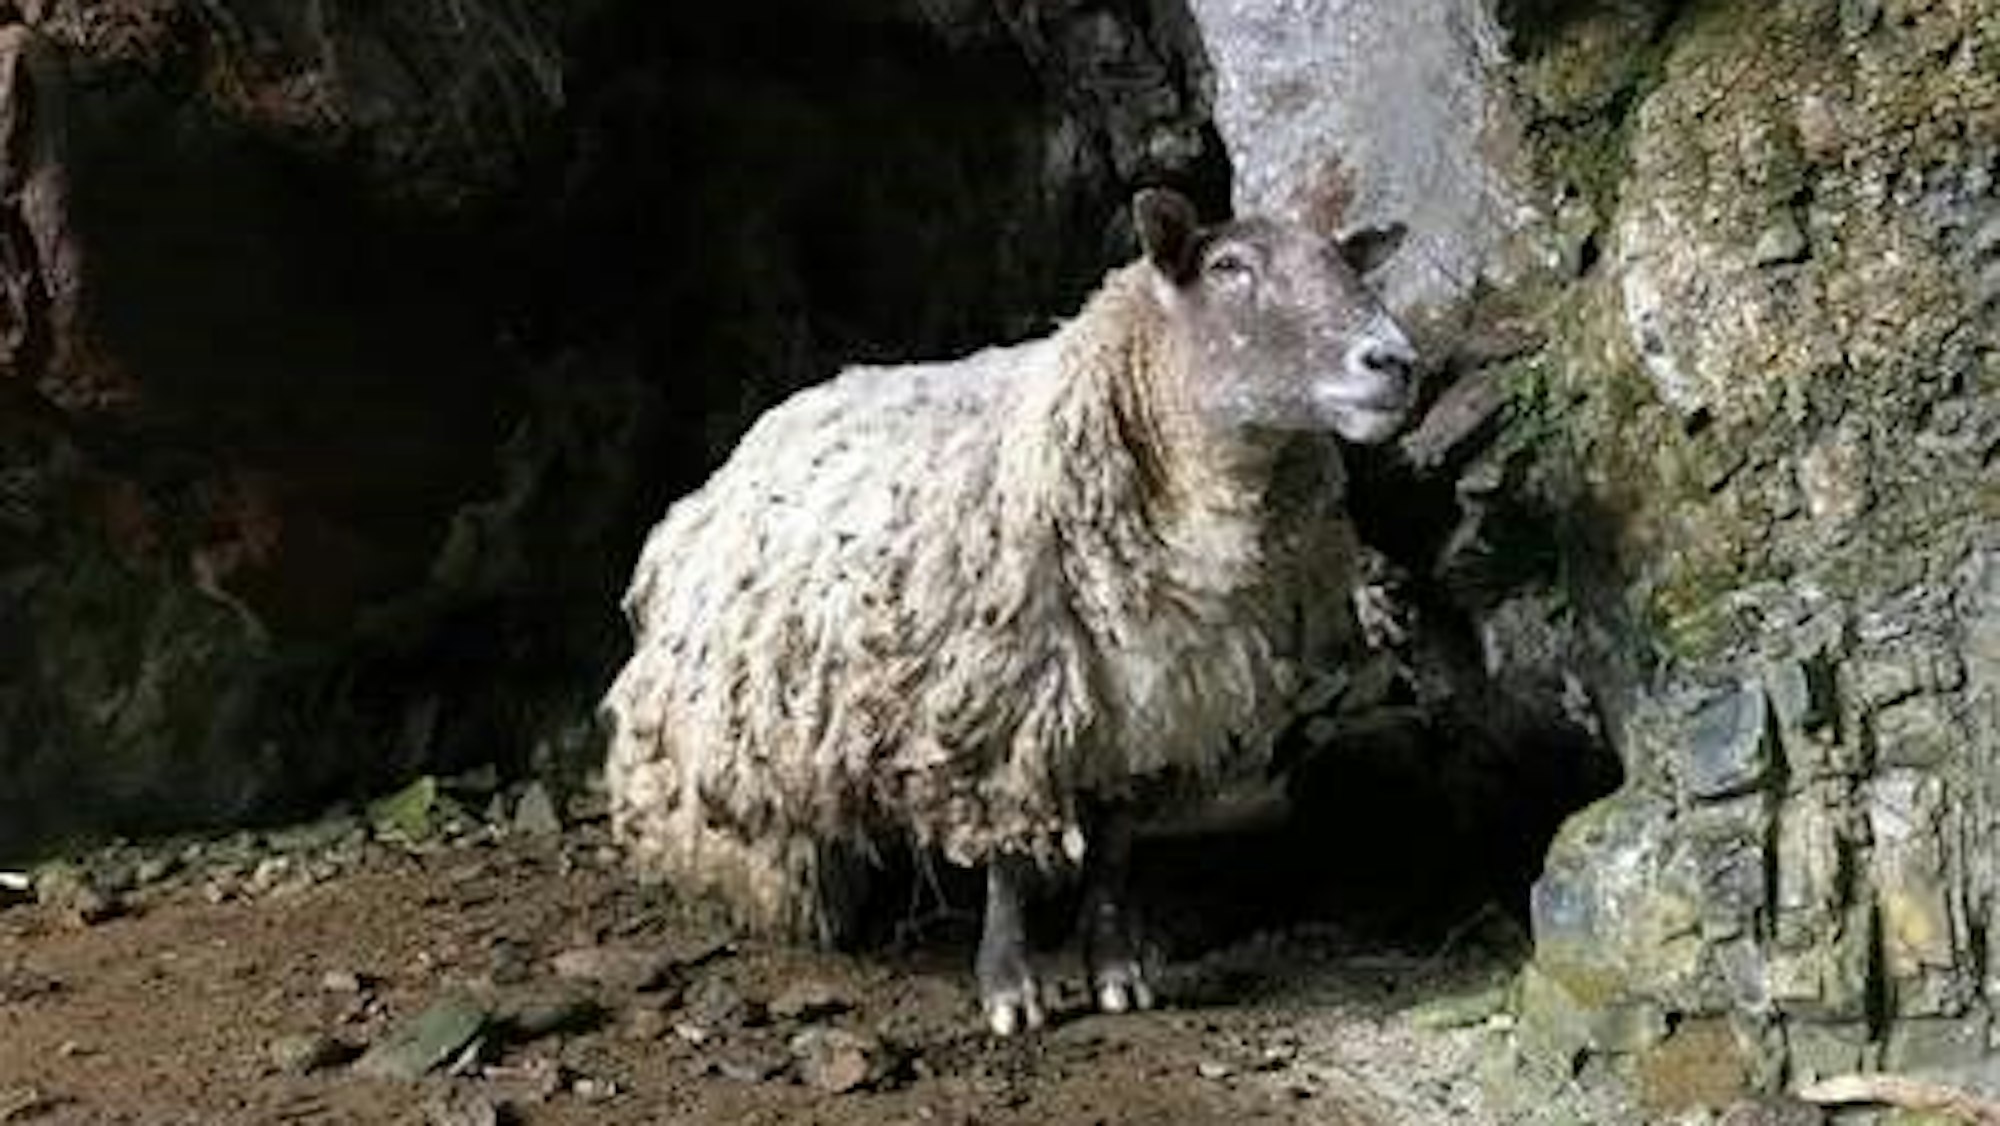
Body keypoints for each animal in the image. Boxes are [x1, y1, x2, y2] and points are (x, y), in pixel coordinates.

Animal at [601, 188, 1418, 1035]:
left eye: (1345, 264)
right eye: (1229, 266)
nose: (1396, 362)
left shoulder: (1150, 713)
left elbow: (1115, 855)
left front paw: (1117, 974)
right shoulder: (1001, 707)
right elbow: (1010, 868)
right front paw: (1009, 990)